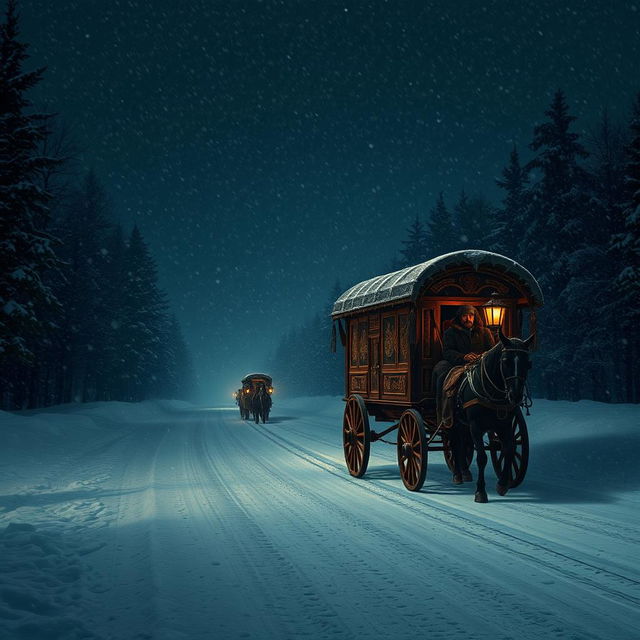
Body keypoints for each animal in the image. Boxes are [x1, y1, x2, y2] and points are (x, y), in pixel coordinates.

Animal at [448, 328, 532, 502]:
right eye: (505, 361)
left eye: (527, 364)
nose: (515, 396)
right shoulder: (475, 425)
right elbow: (481, 457)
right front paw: (480, 491)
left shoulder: (505, 424)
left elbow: (508, 450)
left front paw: (503, 484)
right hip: (451, 422)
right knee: (454, 443)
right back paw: (458, 474)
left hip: (463, 425)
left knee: (462, 444)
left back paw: (465, 471)